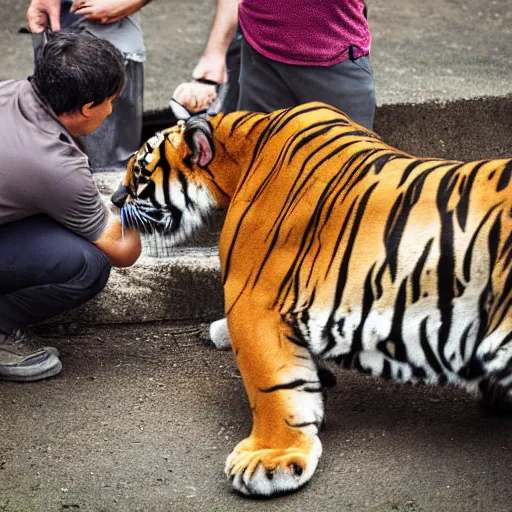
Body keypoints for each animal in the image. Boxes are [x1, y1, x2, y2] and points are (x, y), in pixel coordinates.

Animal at [112, 102, 512, 498]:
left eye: (140, 170)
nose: (115, 199)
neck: (240, 145)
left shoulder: (252, 299)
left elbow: (272, 386)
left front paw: (271, 460)